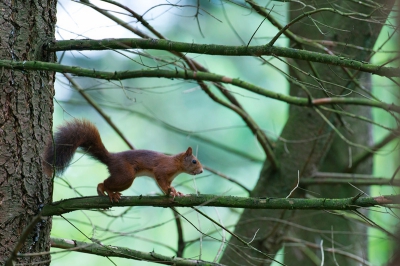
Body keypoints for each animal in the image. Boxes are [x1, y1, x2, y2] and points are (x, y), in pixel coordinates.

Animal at [43, 119, 203, 202]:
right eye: (194, 161)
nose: (201, 171)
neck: (176, 164)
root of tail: (111, 159)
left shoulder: (169, 178)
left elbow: (167, 186)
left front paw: (177, 192)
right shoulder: (162, 170)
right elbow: (162, 182)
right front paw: (173, 193)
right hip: (125, 175)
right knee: (104, 183)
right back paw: (108, 191)